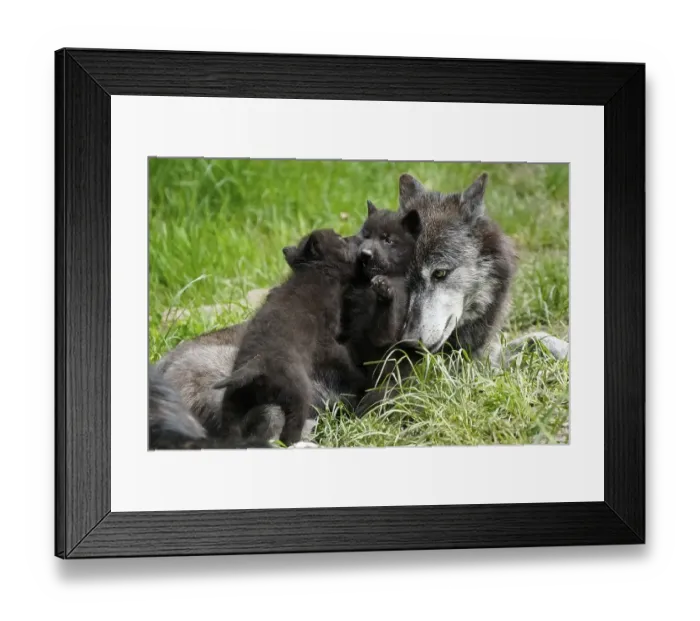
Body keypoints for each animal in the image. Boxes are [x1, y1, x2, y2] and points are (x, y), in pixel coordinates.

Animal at [213, 229, 367, 447]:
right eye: (341, 239)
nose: (357, 237)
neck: (314, 272)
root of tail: (255, 366)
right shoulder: (326, 342)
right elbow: (344, 359)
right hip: (299, 396)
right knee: (290, 431)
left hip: (234, 400)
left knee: (230, 428)